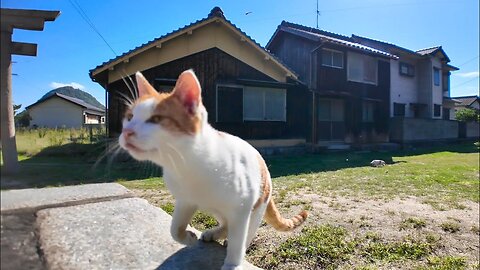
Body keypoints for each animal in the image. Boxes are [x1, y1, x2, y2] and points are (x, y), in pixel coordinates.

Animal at [119, 70, 308, 270]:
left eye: (156, 119)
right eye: (130, 117)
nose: (126, 132)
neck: (187, 165)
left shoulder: (242, 209)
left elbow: (238, 241)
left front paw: (233, 263)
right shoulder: (185, 201)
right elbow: (174, 229)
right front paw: (188, 237)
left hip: (257, 206)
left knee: (245, 231)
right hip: (216, 208)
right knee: (225, 222)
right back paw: (214, 233)